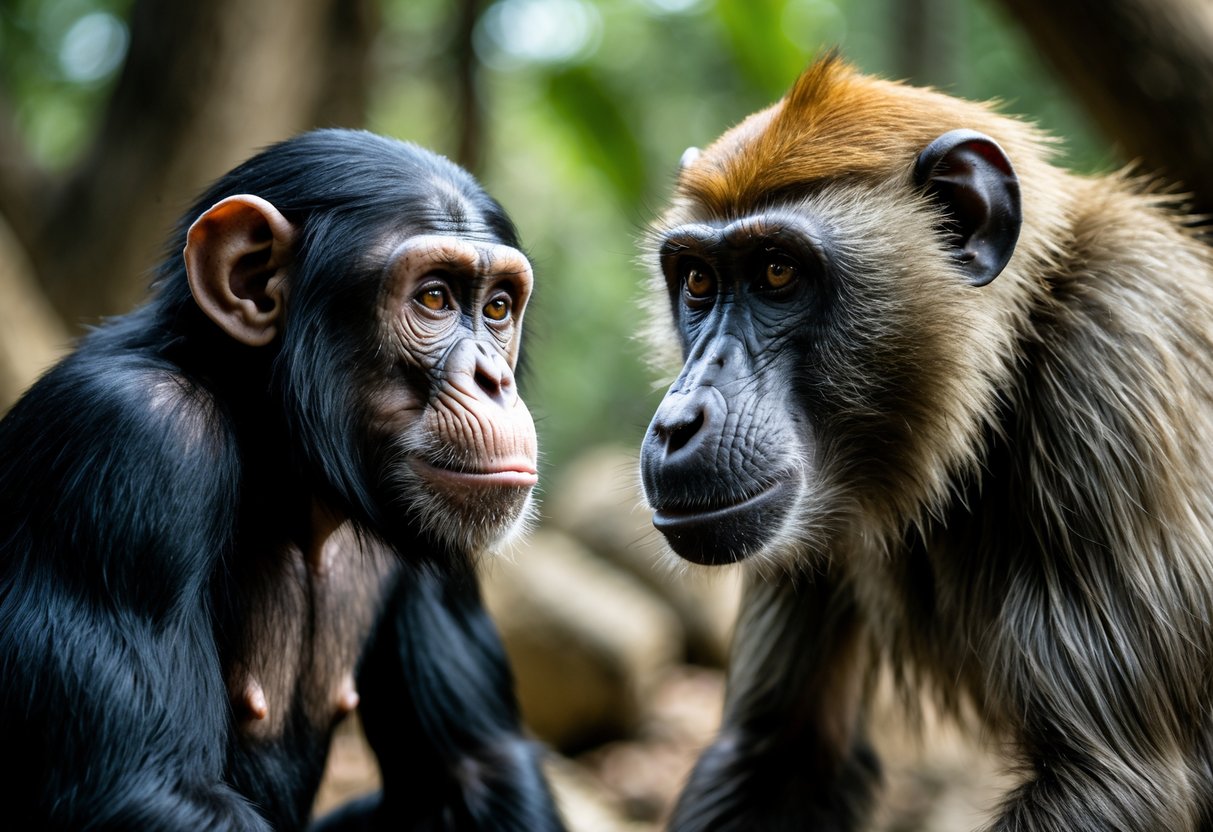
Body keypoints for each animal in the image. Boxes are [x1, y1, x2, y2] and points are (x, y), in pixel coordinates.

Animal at [639, 54, 1213, 831]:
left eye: (777, 271)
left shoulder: (1116, 351)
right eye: (698, 279)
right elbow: (773, 755)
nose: (678, 421)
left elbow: (1114, 780)